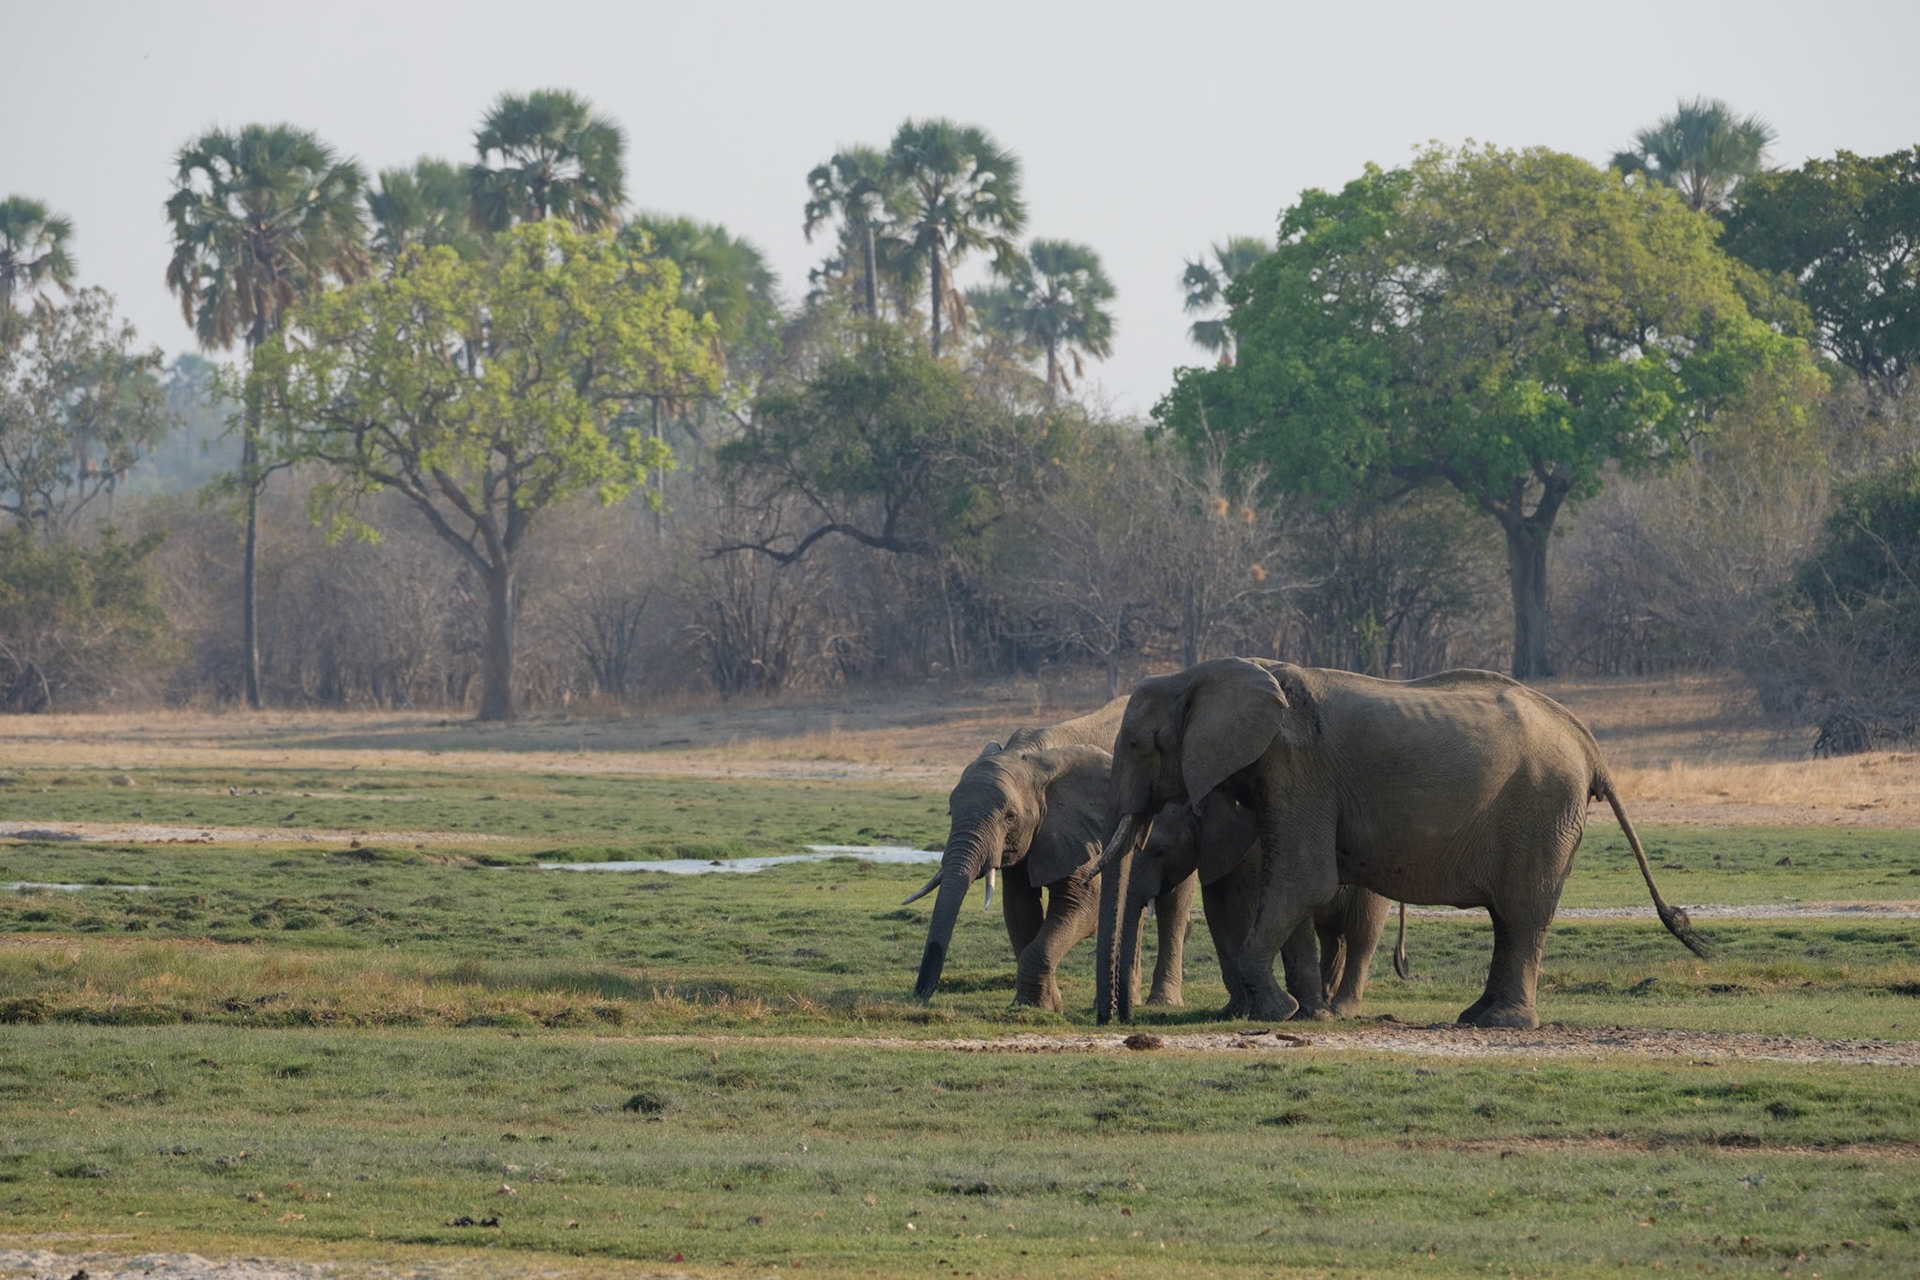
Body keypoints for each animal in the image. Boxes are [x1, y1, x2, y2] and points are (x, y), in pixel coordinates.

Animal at [907, 696, 1196, 1011]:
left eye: (1010, 817)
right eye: (951, 811)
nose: (918, 995)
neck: (1030, 757)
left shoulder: (1080, 831)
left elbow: (1085, 906)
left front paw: (1035, 1006)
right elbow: (1020, 910)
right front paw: (1042, 1005)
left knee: (1173, 906)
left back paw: (1164, 1002)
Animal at [1095, 790, 1403, 1025]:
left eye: (1159, 851)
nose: (1125, 1018)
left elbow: (1249, 911)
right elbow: (1218, 914)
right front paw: (1233, 1011)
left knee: (1362, 934)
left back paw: (1339, 1010)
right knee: (1332, 937)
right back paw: (1325, 1000)